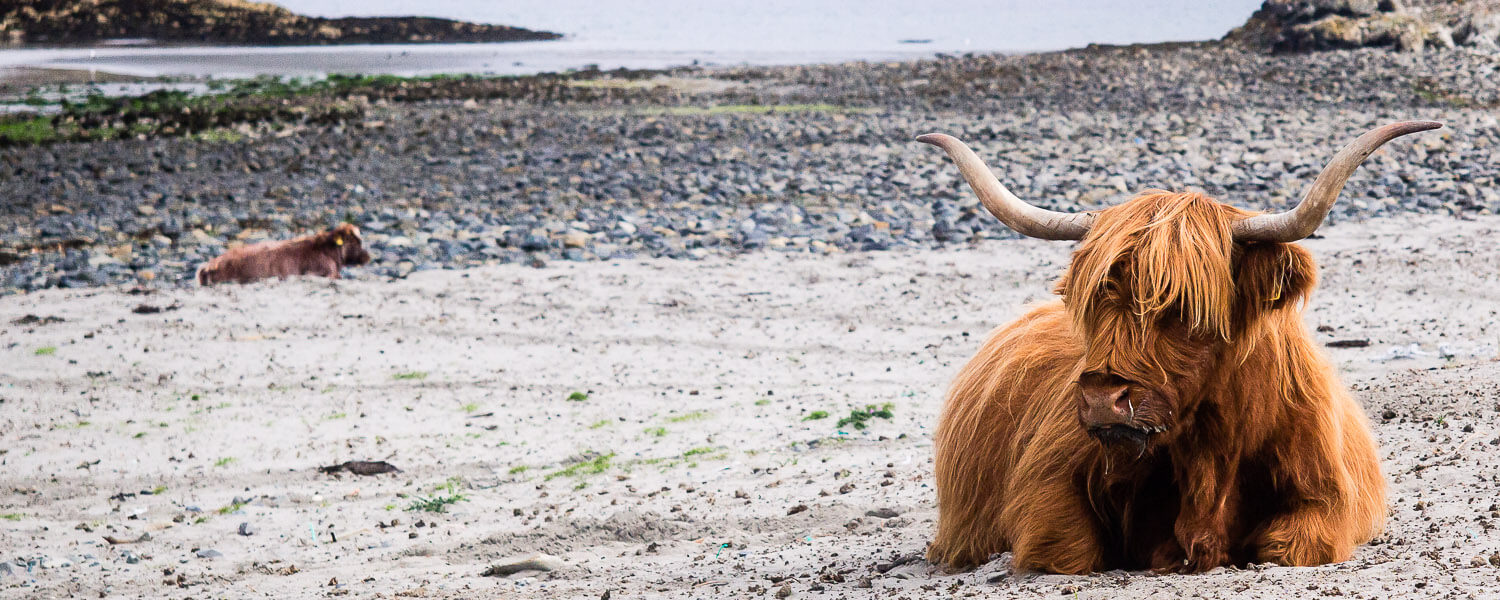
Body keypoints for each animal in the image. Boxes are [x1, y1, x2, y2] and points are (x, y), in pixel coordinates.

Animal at [915, 121, 1440, 574]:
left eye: (1186, 307)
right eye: (1093, 301)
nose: (1102, 399)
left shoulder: (1327, 501)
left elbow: (1290, 545)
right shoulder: (1048, 488)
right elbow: (1066, 547)